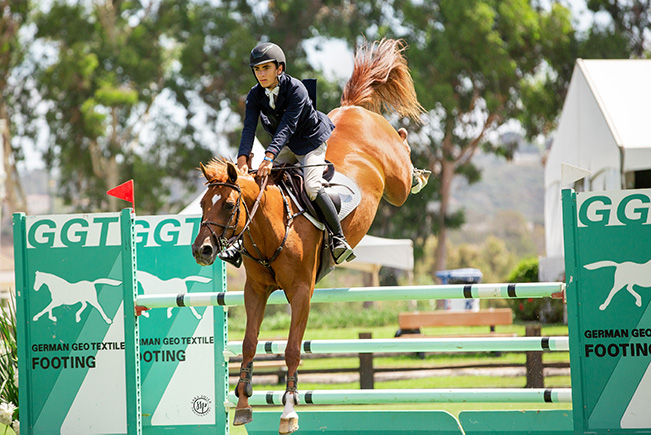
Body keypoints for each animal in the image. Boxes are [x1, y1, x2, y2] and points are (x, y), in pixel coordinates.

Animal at [191, 39, 430, 434]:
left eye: (228, 205)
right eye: (201, 204)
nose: (202, 250)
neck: (270, 229)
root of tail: (351, 108)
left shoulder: (302, 291)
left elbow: (291, 349)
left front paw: (288, 412)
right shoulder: (255, 291)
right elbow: (249, 344)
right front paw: (243, 406)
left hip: (395, 181)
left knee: (403, 156)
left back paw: (417, 167)